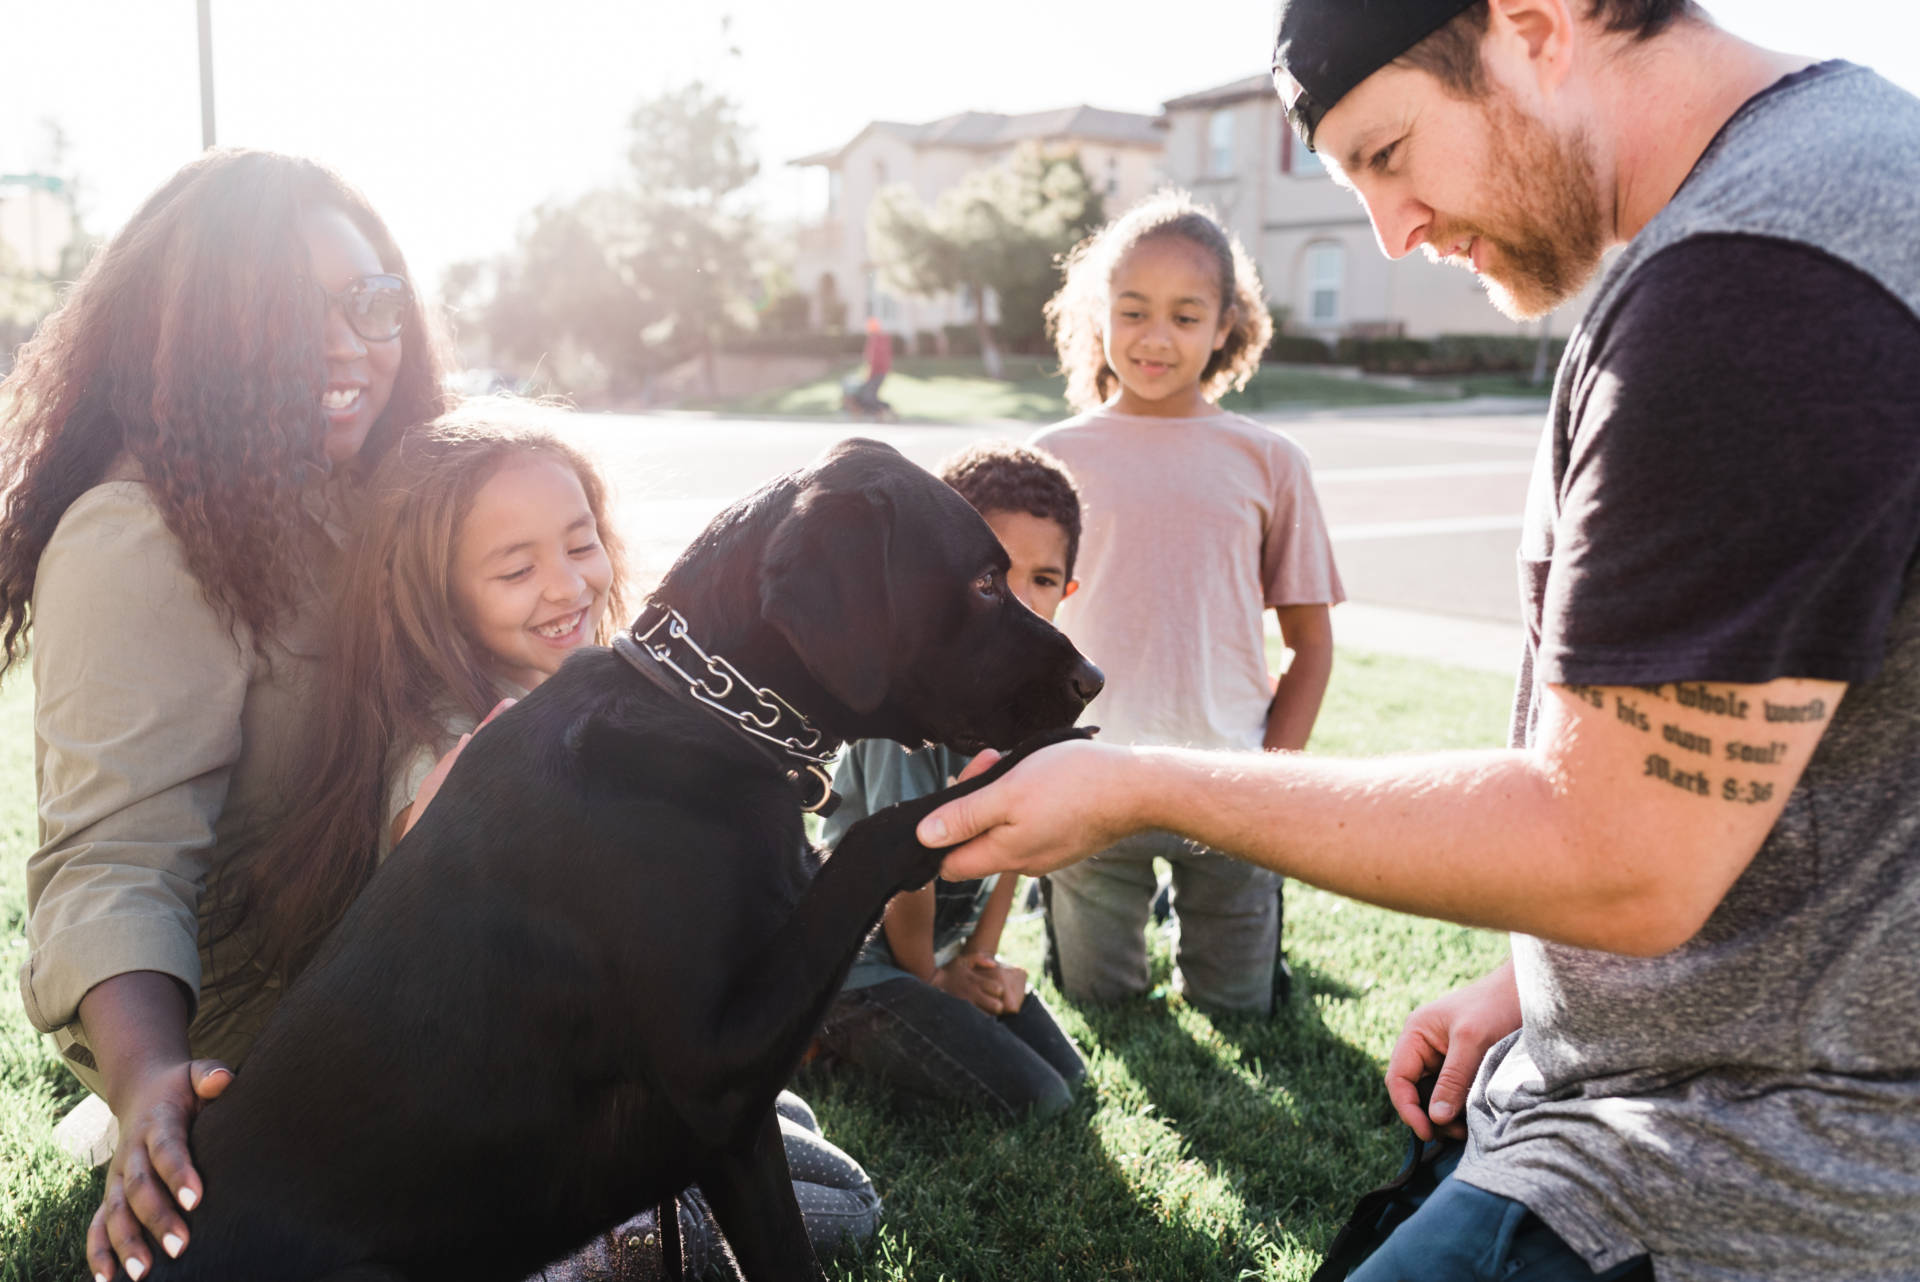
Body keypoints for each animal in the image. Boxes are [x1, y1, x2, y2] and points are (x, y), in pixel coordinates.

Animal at [127, 441, 1098, 1282]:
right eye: (985, 582)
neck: (705, 713)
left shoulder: (732, 1137)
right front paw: (1038, 766)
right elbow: (878, 836)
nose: (1091, 678)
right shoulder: (718, 1076)